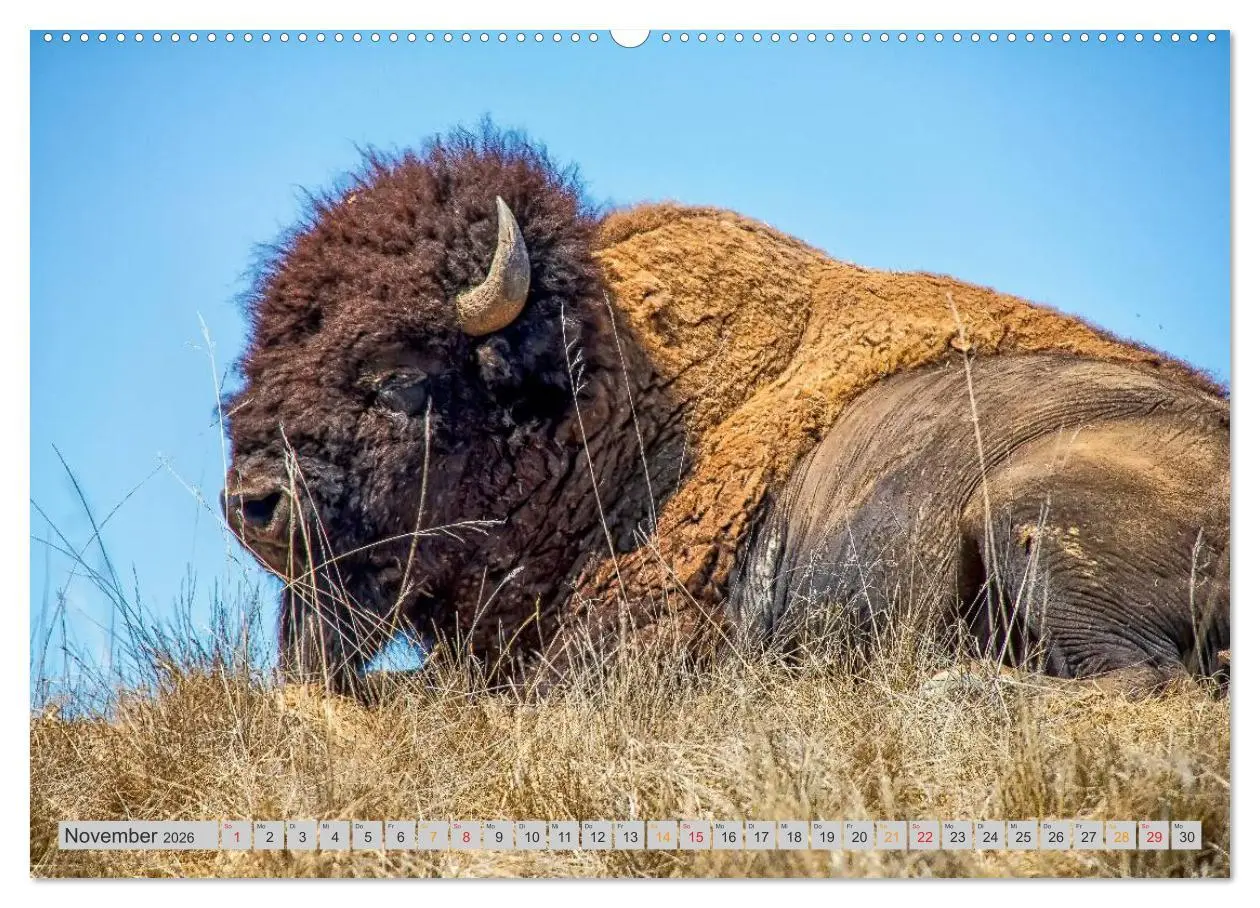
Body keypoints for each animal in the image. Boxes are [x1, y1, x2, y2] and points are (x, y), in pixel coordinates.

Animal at [223, 125, 1229, 694]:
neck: (618, 409)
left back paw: (954, 687)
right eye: (261, 358)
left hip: (1025, 511)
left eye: (398, 375)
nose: (253, 502)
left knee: (1138, 679)